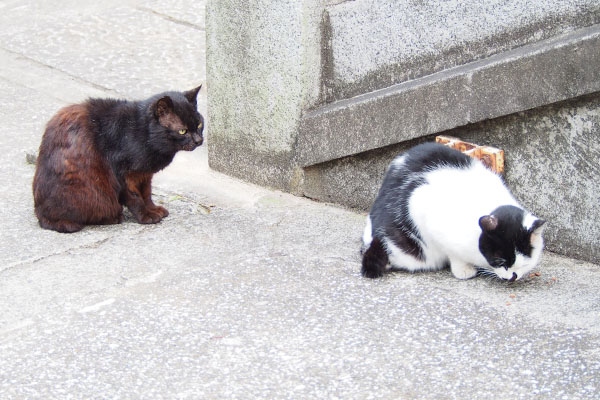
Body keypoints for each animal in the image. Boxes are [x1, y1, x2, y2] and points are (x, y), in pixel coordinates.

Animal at [33, 86, 206, 233]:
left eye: (199, 124)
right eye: (182, 131)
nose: (199, 140)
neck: (141, 132)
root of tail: (41, 215)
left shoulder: (144, 175)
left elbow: (147, 194)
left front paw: (153, 209)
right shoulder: (123, 174)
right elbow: (135, 198)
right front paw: (146, 216)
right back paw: (113, 217)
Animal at [364, 142, 548, 282]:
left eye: (525, 263)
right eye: (500, 261)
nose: (512, 277)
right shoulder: (425, 211)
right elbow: (453, 252)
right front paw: (464, 270)